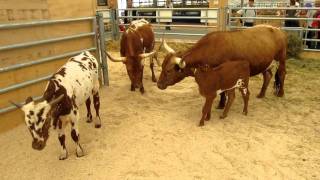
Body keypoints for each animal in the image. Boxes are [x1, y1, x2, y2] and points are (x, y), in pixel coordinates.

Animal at [158, 24, 288, 107]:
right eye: (162, 67)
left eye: (169, 70)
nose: (159, 84)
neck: (212, 48)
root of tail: (276, 29)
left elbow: (223, 91)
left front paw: (221, 105)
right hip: (265, 62)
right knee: (268, 76)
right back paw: (261, 94)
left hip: (281, 58)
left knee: (282, 74)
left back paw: (280, 93)